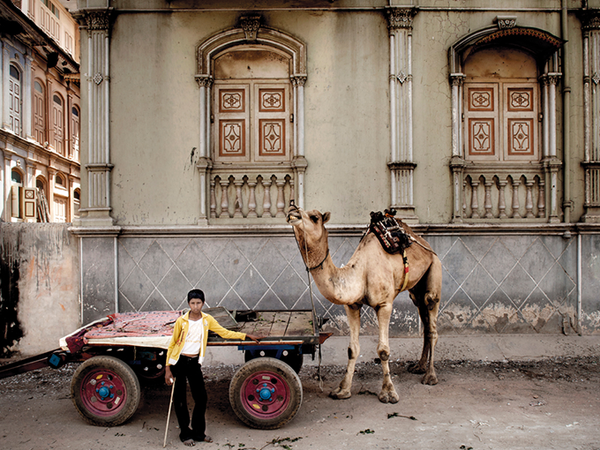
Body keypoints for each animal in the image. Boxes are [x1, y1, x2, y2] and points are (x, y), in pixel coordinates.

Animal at [288, 202, 442, 402]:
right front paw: (342, 390)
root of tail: (424, 243)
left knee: (431, 320)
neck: (359, 272)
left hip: (434, 269)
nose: (292, 211)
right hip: (416, 288)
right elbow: (352, 349)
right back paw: (418, 367)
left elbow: (383, 350)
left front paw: (388, 392)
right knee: (423, 315)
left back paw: (430, 376)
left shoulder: (384, 304)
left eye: (314, 217)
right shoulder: (352, 305)